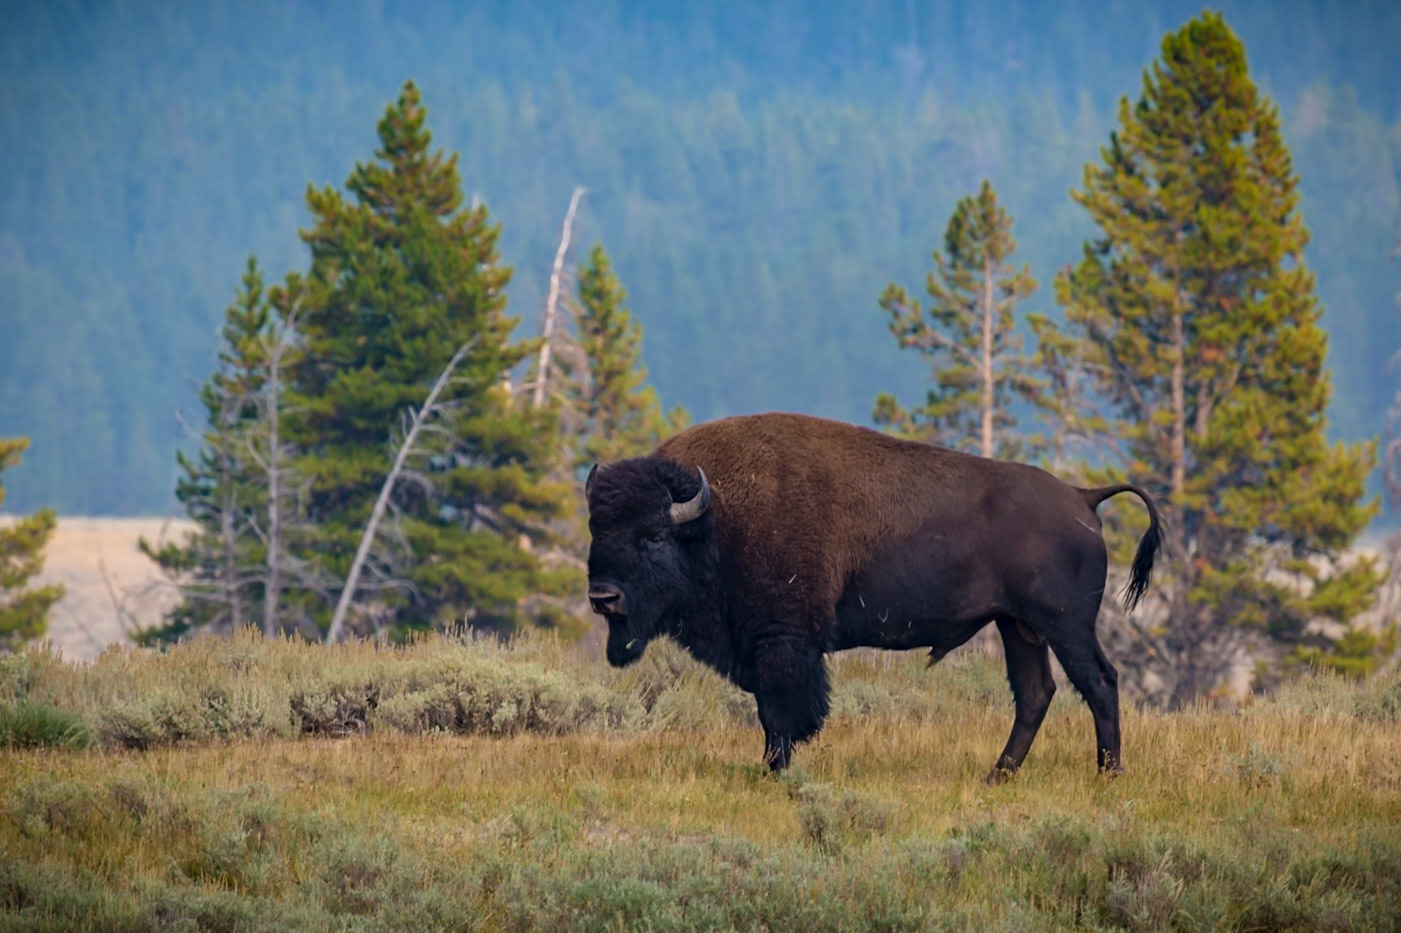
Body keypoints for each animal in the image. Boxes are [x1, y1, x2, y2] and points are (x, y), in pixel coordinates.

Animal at [584, 412, 1161, 780]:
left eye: (652, 535)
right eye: (596, 530)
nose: (602, 597)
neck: (715, 519)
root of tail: (1083, 497)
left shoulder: (782, 642)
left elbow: (780, 711)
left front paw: (773, 772)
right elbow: (772, 710)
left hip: (1065, 626)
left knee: (1099, 682)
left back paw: (1108, 775)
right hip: (1018, 627)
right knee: (1036, 693)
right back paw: (997, 776)